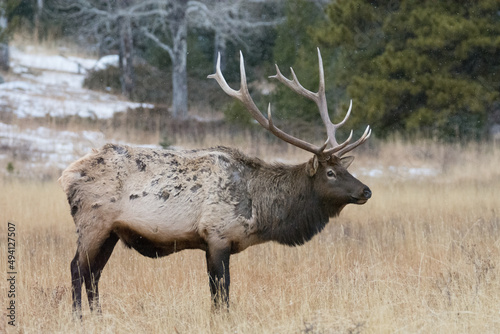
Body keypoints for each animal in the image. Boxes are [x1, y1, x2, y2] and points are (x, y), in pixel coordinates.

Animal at [59, 47, 372, 316]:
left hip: (111, 232)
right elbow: (222, 292)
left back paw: (99, 317)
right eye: (330, 173)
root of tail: (67, 175)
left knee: (94, 274)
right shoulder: (217, 235)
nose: (366, 190)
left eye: (344, 167)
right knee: (77, 268)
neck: (260, 212)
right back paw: (78, 317)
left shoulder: (215, 243)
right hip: (93, 223)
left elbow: (215, 293)